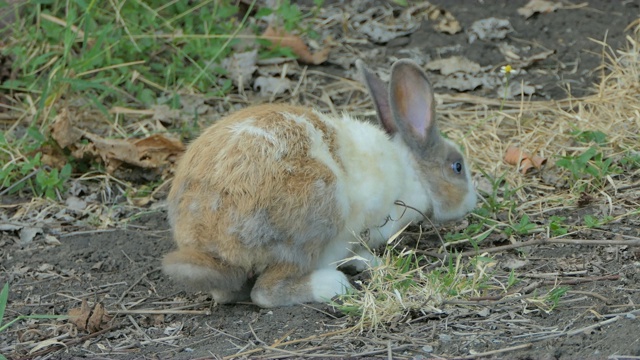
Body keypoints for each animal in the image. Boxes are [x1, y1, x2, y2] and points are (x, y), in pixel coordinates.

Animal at [162, 58, 478, 306]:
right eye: (457, 166)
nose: (472, 202)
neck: (409, 170)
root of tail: (208, 241)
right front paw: (369, 262)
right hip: (316, 221)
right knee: (265, 292)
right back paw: (332, 285)